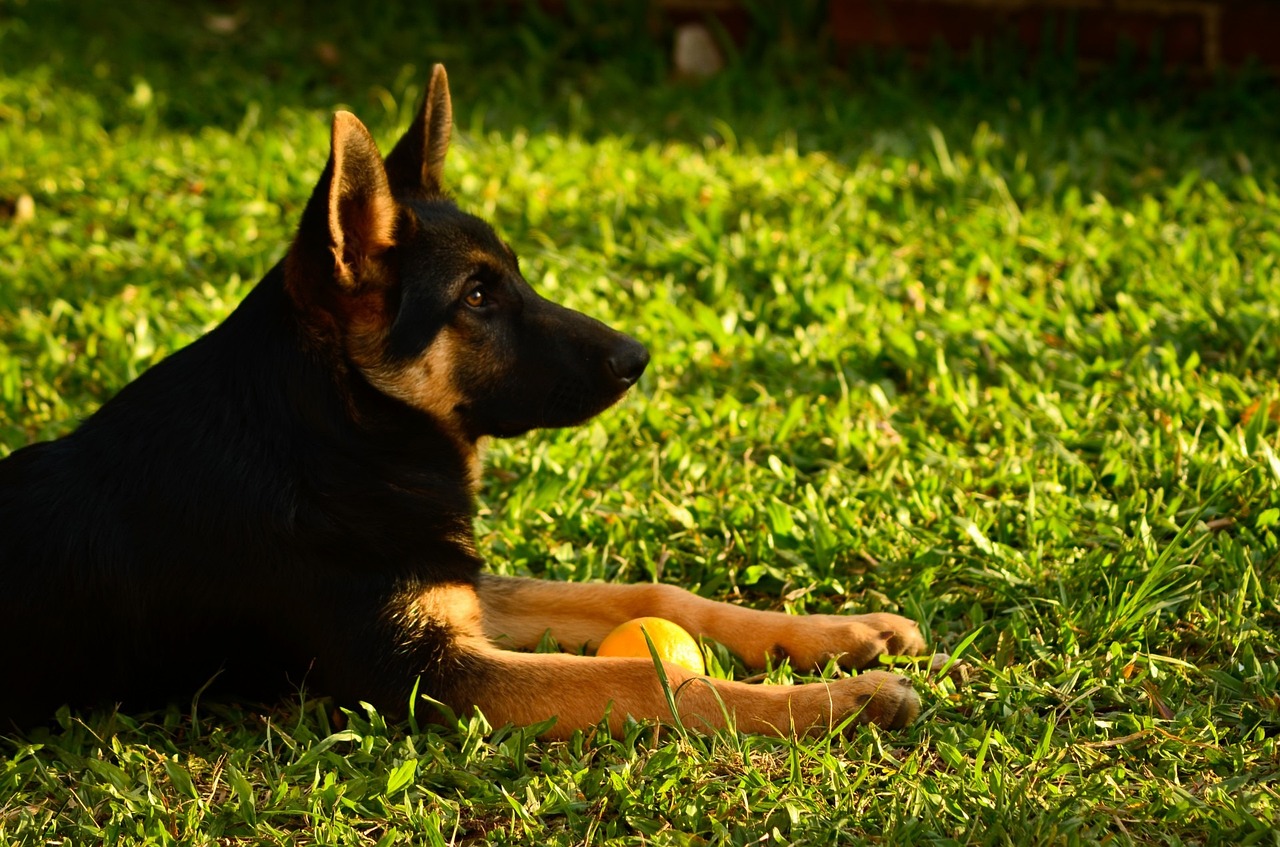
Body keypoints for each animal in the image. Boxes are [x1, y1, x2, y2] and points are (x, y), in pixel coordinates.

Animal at [0, 69, 921, 742]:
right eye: (477, 295)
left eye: (512, 274)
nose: (638, 358)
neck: (336, 436)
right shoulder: (425, 676)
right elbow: (651, 673)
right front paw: (842, 701)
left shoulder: (461, 592)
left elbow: (654, 595)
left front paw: (843, 635)